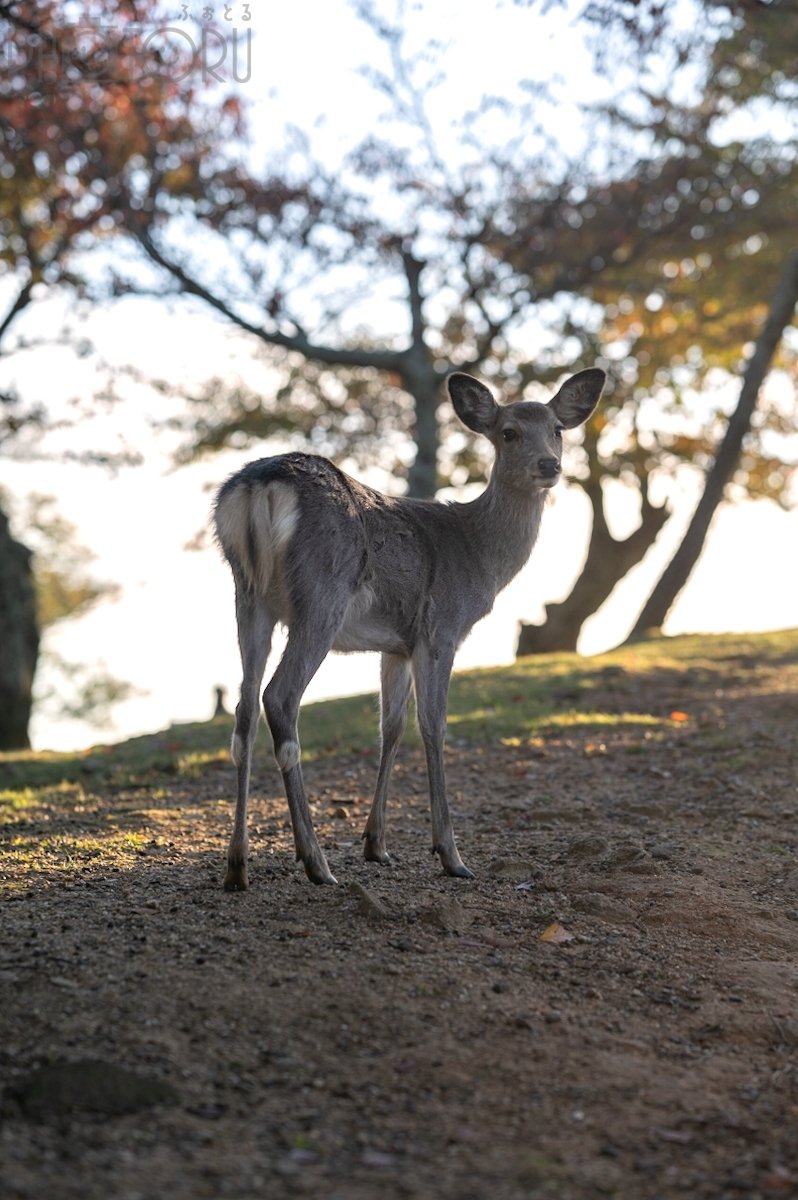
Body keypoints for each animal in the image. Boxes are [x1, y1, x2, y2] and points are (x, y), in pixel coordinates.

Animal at [213, 364, 604, 892]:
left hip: (249, 596)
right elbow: (433, 725)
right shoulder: (441, 629)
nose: (549, 465)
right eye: (508, 432)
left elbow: (391, 726)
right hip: (321, 595)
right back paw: (316, 862)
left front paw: (376, 844)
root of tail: (260, 487)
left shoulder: (396, 644)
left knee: (244, 708)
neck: (477, 556)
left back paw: (238, 865)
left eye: (558, 429)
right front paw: (451, 854)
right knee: (279, 697)